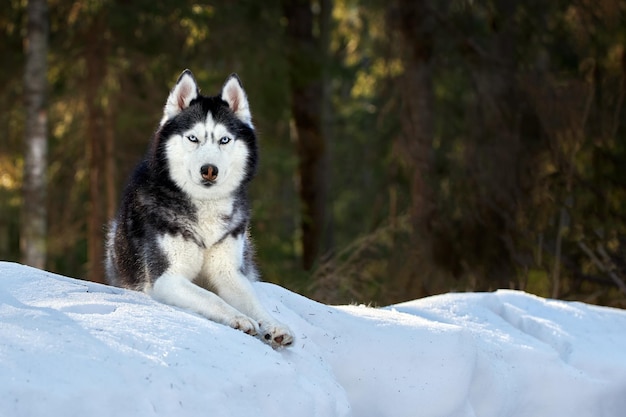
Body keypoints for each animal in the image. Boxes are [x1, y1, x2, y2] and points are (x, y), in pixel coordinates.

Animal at [105, 70, 292, 348]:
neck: (205, 207)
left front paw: (274, 325)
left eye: (224, 140)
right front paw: (240, 319)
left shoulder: (229, 272)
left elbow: (254, 302)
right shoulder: (167, 279)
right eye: (193, 138)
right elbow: (211, 297)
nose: (209, 169)